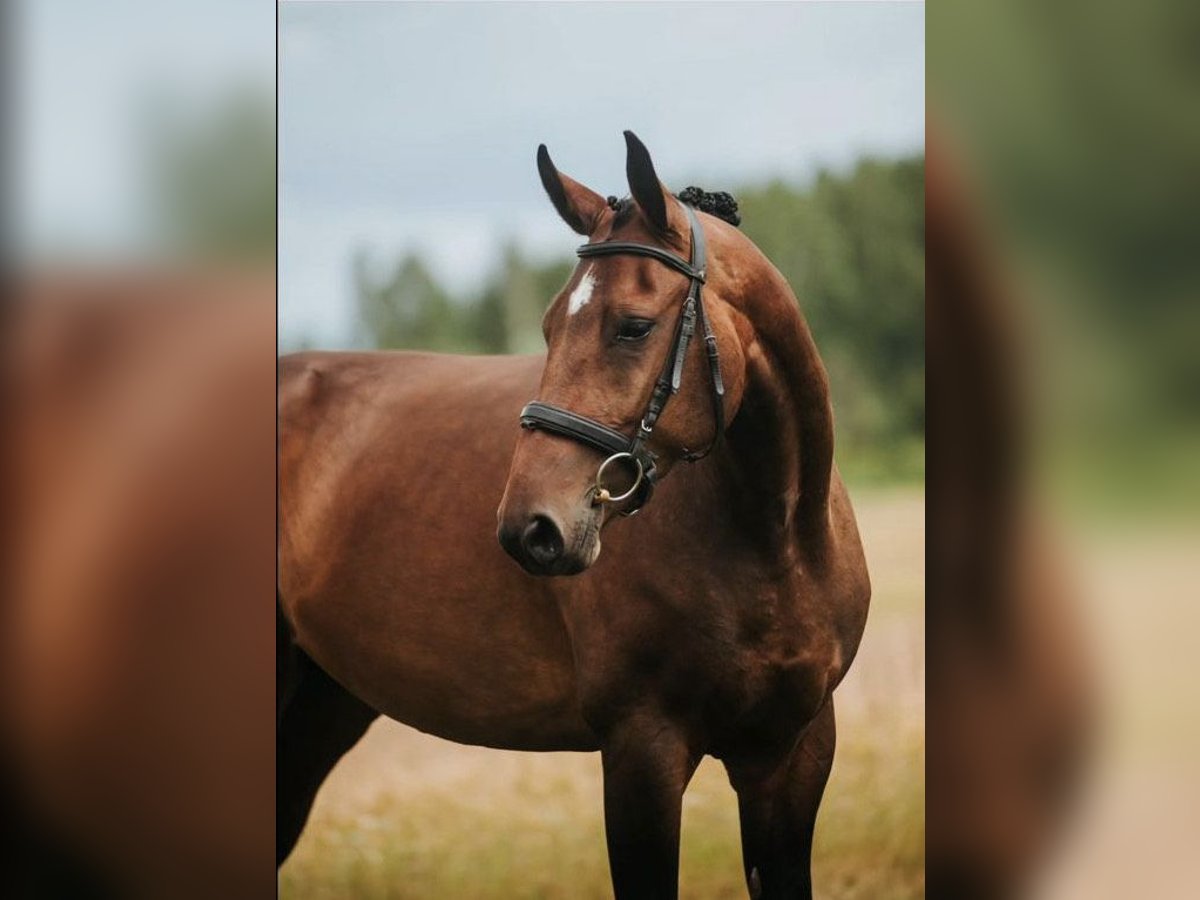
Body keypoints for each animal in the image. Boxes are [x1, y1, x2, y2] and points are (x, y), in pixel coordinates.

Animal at [274, 130, 868, 897]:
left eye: (634, 328)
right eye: (551, 325)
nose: (530, 528)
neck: (777, 544)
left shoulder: (793, 753)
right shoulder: (642, 750)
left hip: (322, 706)